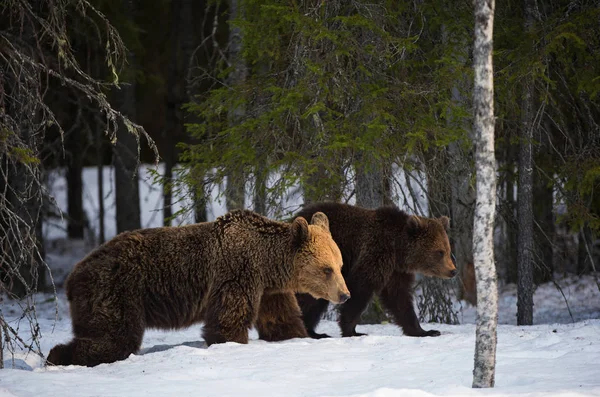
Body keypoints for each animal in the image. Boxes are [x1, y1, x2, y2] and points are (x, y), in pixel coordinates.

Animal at [47, 209, 350, 366]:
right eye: (327, 269)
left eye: (340, 264)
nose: (344, 295)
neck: (268, 263)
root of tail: (73, 275)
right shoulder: (237, 273)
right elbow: (227, 320)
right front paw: (232, 341)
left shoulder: (268, 290)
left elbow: (281, 319)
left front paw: (297, 335)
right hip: (115, 290)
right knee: (115, 336)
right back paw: (58, 354)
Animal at [294, 204, 454, 338]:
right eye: (440, 252)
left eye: (448, 250)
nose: (453, 271)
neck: (397, 250)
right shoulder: (375, 253)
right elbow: (360, 289)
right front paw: (352, 331)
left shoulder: (396, 272)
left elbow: (399, 298)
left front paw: (426, 331)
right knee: (308, 298)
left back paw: (314, 332)